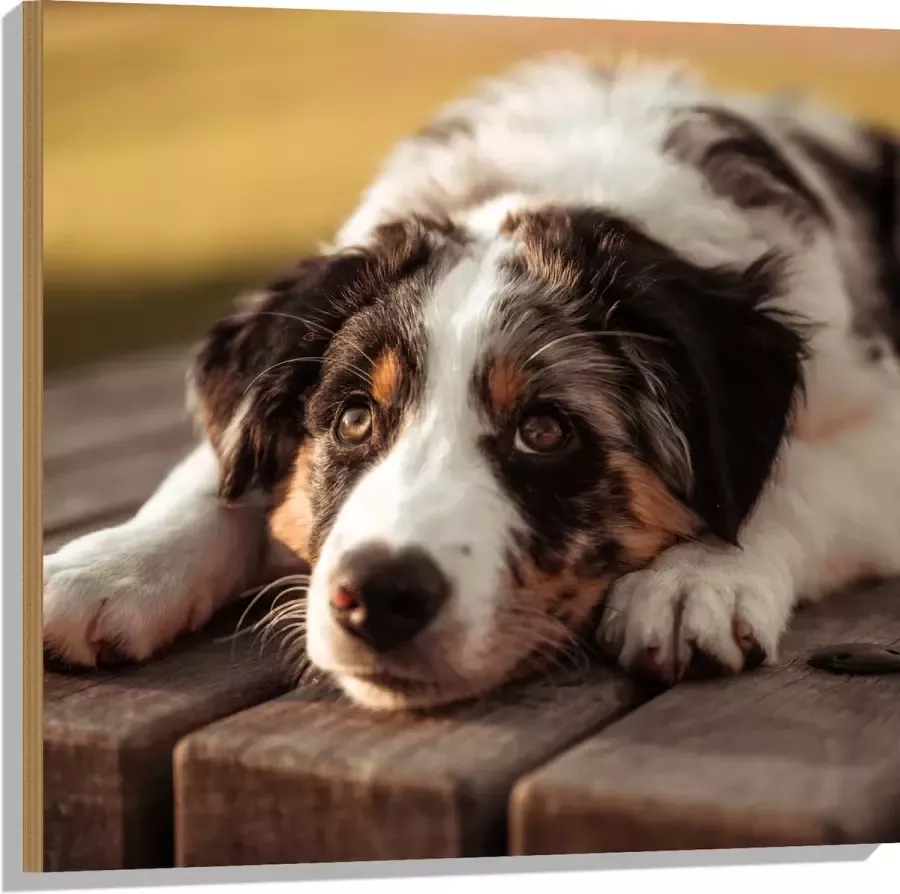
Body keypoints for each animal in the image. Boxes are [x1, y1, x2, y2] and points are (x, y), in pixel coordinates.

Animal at [40, 56, 900, 712]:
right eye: (353, 419)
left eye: (545, 430)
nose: (378, 596)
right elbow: (213, 479)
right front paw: (108, 568)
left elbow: (798, 472)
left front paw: (698, 577)